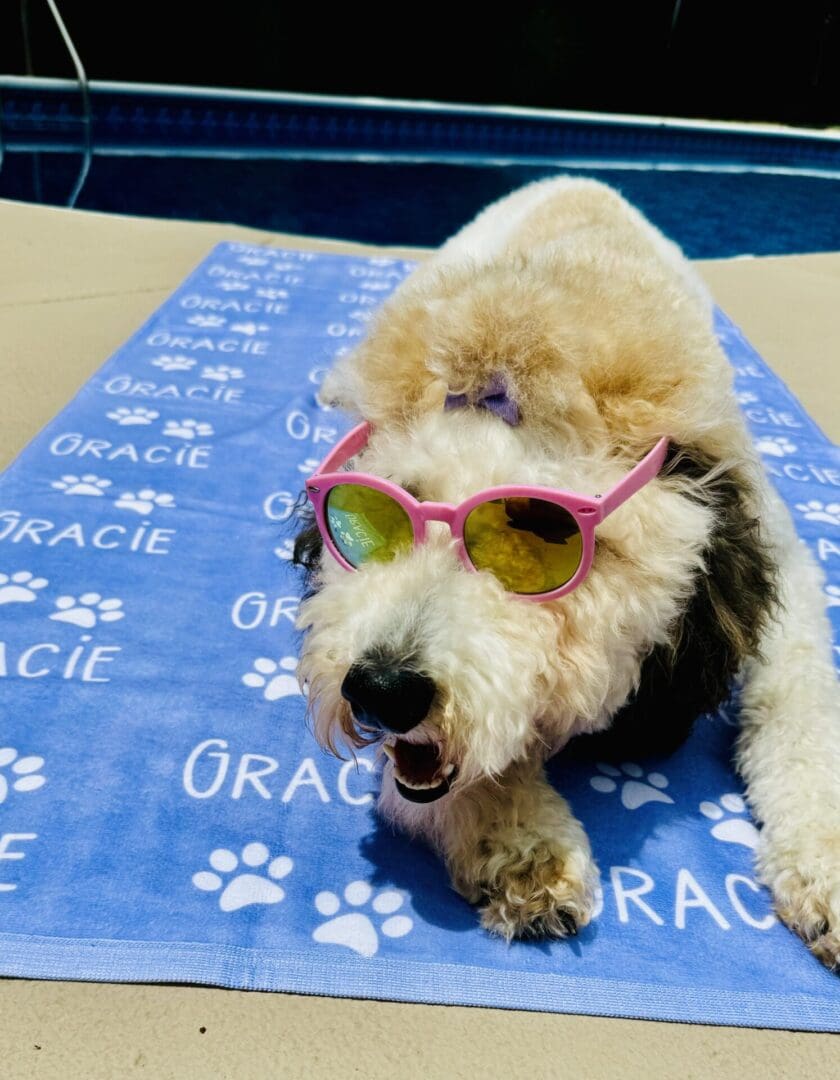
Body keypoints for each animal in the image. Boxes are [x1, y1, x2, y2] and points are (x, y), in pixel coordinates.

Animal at [291, 179, 833, 972]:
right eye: (376, 516)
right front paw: (523, 850)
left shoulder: (783, 572)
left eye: (542, 531)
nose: (382, 690)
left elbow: (804, 712)